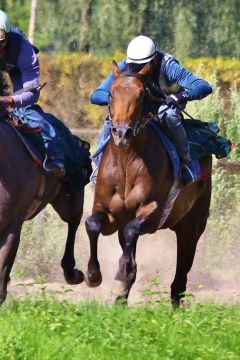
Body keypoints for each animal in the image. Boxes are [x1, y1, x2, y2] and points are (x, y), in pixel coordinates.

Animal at [85, 60, 212, 306]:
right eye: (111, 93)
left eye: (141, 94)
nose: (121, 133)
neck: (126, 161)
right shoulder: (107, 211)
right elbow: (92, 224)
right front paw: (93, 275)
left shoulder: (153, 212)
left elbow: (132, 232)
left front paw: (121, 277)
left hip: (192, 225)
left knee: (181, 272)